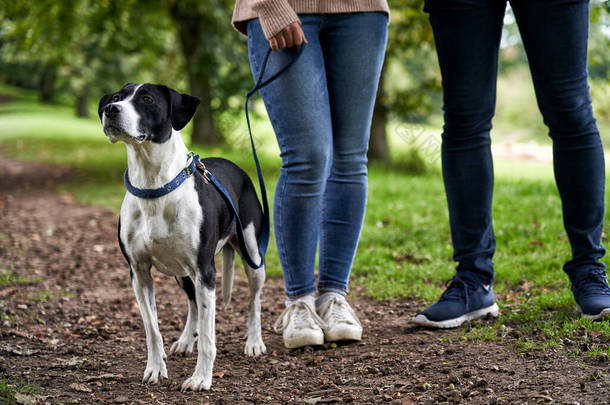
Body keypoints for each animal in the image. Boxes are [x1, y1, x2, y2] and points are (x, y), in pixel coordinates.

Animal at [97, 83, 264, 390]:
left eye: (147, 99)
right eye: (116, 98)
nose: (110, 110)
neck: (154, 185)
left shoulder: (205, 272)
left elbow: (209, 338)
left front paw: (201, 378)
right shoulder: (139, 273)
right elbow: (152, 329)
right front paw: (155, 367)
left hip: (252, 255)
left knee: (253, 301)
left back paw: (255, 342)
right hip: (182, 273)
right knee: (193, 305)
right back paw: (186, 340)